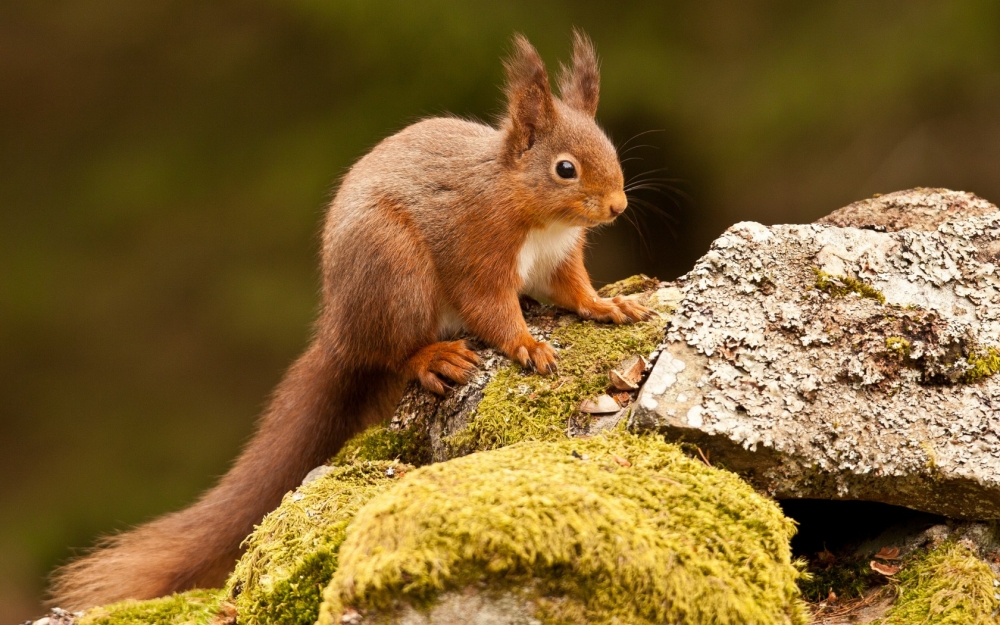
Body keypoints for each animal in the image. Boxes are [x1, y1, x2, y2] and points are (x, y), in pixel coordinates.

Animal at [52, 30, 648, 608]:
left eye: (610, 150)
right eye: (565, 169)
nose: (617, 206)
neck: (531, 210)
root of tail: (338, 333)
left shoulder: (559, 259)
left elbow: (574, 290)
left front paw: (609, 306)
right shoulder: (476, 251)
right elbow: (489, 308)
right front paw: (528, 344)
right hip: (395, 272)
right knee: (395, 353)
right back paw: (433, 357)